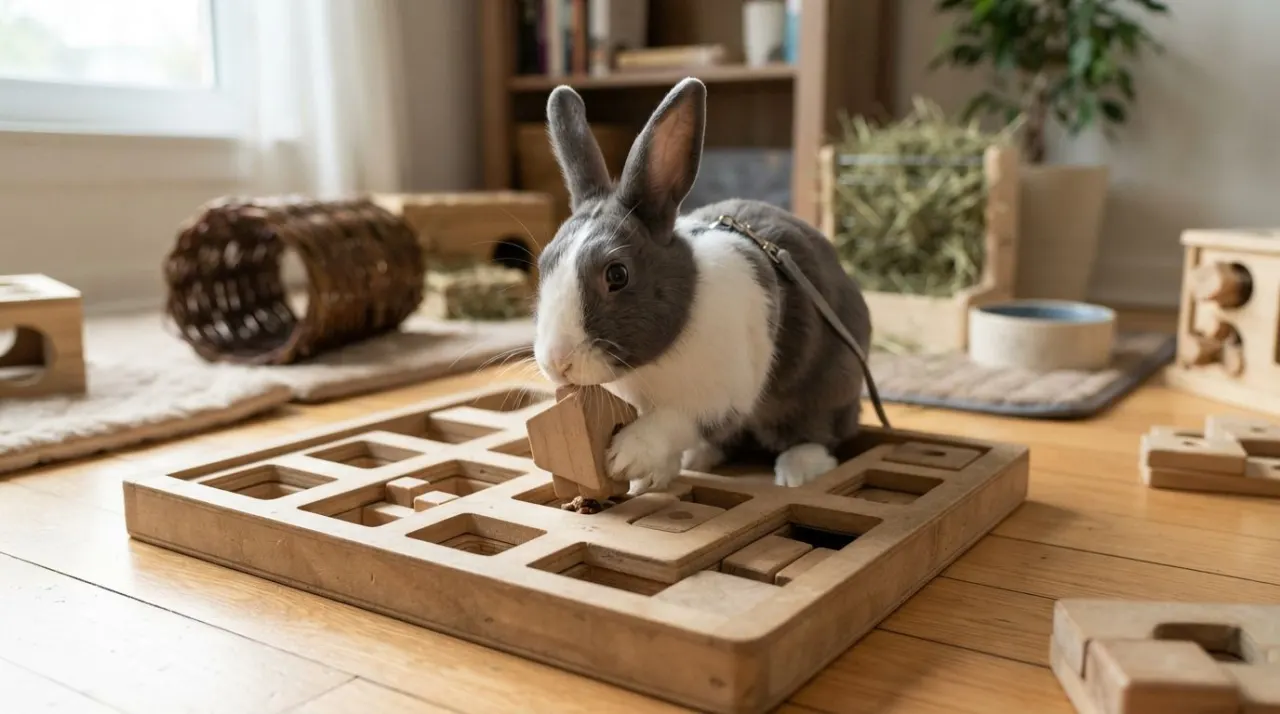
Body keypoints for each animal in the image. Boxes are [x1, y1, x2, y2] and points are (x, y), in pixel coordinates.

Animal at [532, 76, 872, 495]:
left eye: (616, 275)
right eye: (544, 264)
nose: (556, 363)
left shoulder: (717, 398)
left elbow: (672, 423)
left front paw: (626, 456)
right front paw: (648, 479)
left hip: (830, 385)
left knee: (817, 431)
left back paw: (798, 470)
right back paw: (699, 459)